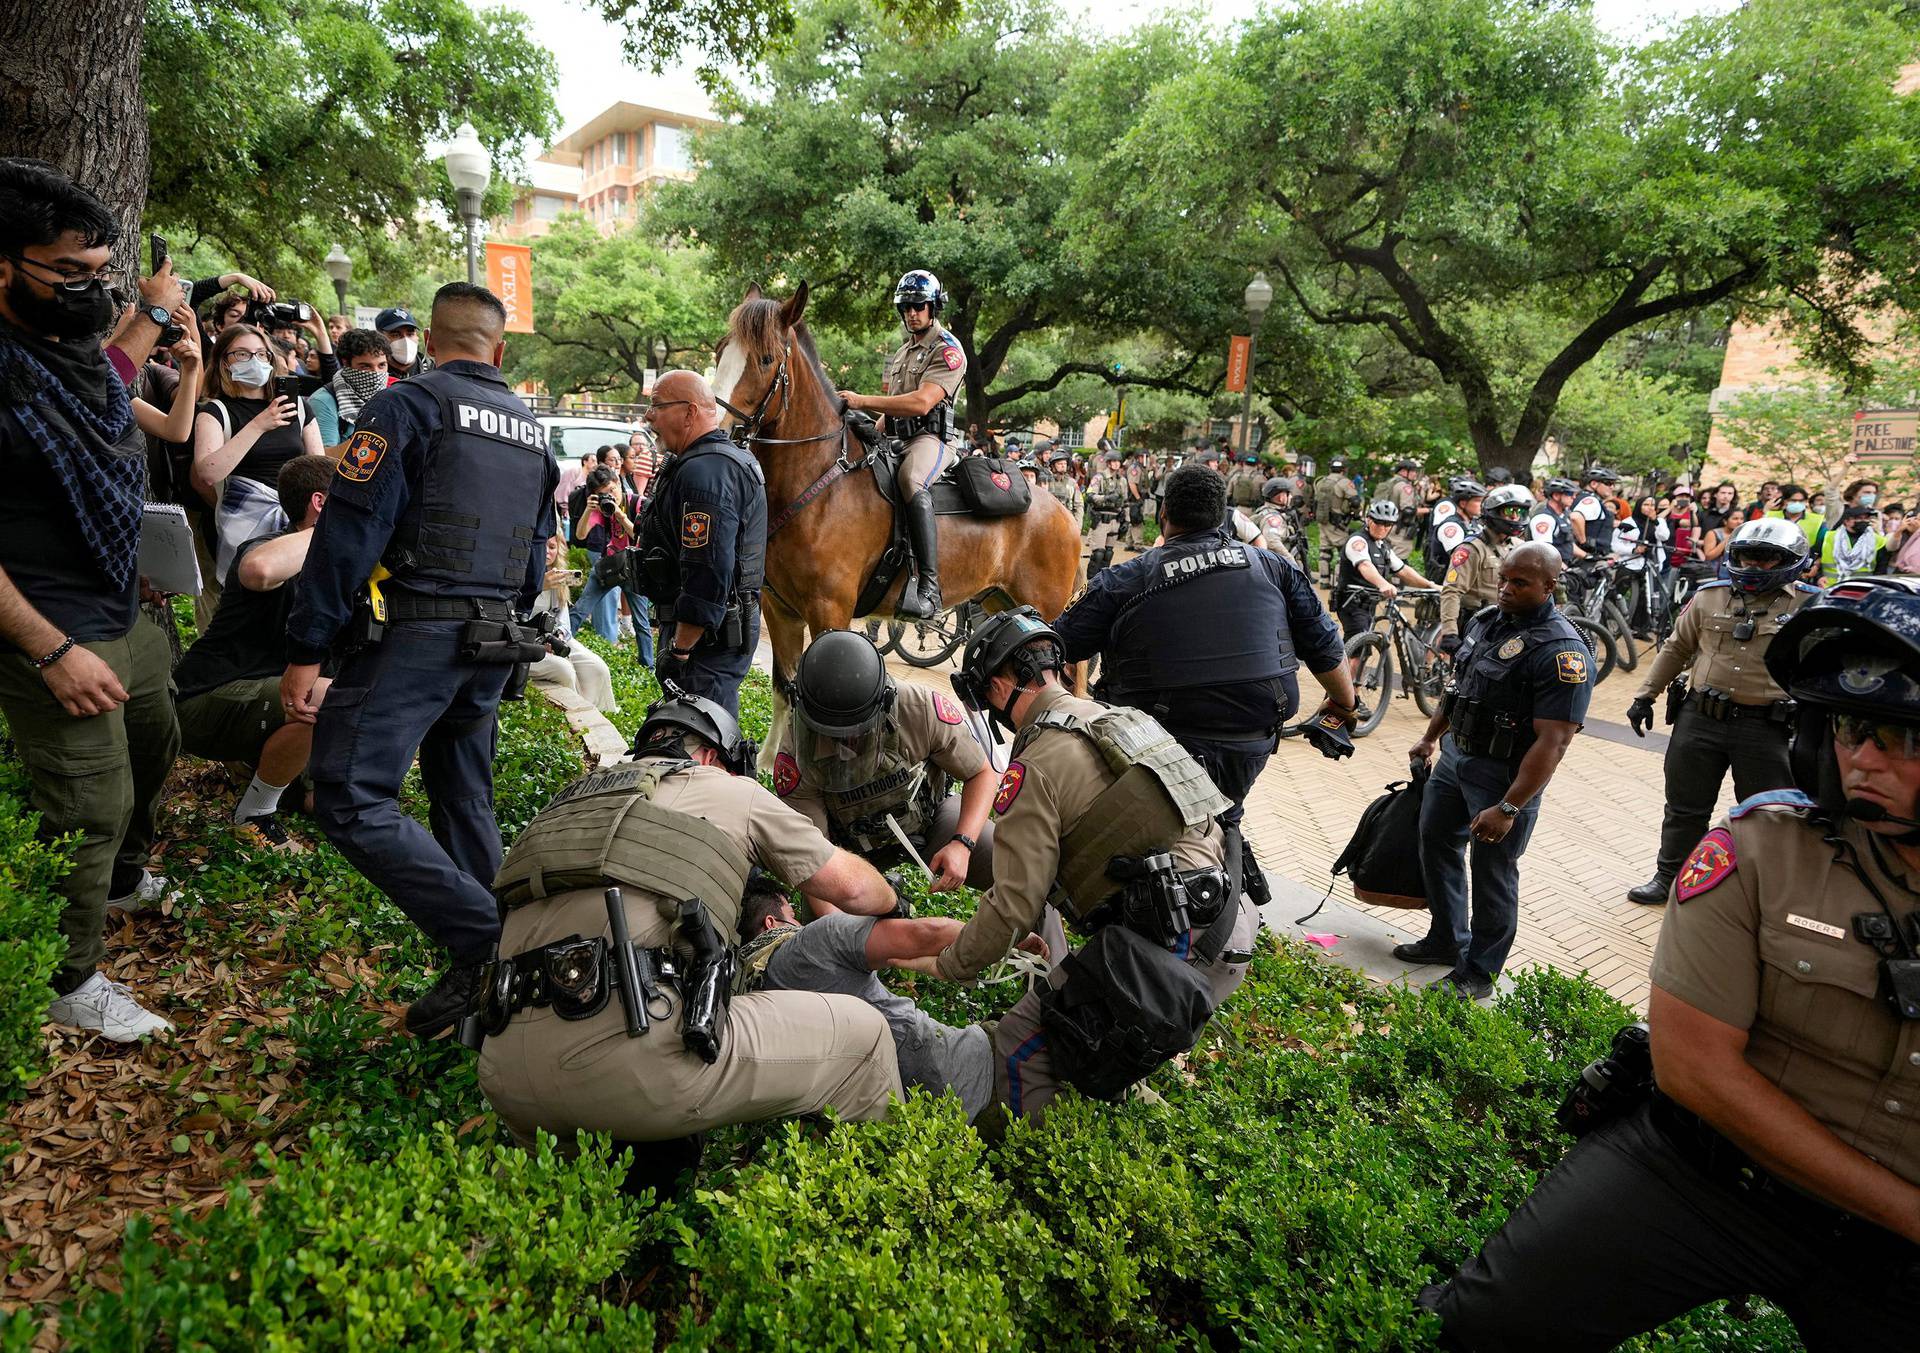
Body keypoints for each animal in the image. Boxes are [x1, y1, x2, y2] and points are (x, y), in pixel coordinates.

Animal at [714, 280, 1090, 748]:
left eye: (765, 359)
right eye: (720, 350)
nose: (716, 428)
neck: (818, 482)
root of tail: (1064, 514)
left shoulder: (829, 612)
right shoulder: (779, 609)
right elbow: (786, 693)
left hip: (1046, 611)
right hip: (1002, 601)